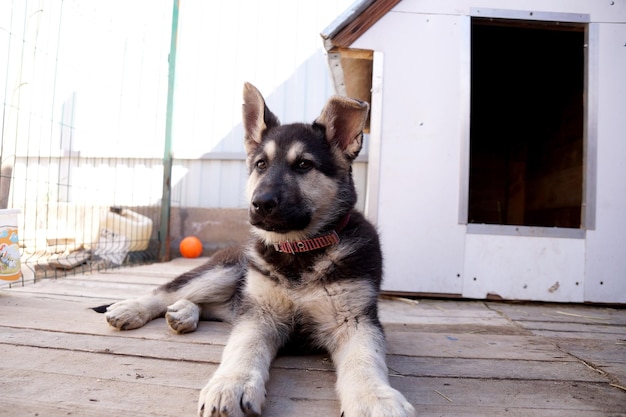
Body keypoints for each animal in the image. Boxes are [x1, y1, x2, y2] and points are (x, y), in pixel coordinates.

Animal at [103, 83, 414, 414]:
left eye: (304, 165)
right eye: (261, 165)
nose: (260, 204)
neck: (299, 249)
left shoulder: (355, 320)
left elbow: (364, 358)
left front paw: (374, 399)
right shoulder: (259, 314)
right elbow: (244, 346)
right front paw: (231, 384)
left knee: (215, 306)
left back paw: (186, 313)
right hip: (225, 270)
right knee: (169, 292)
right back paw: (133, 308)